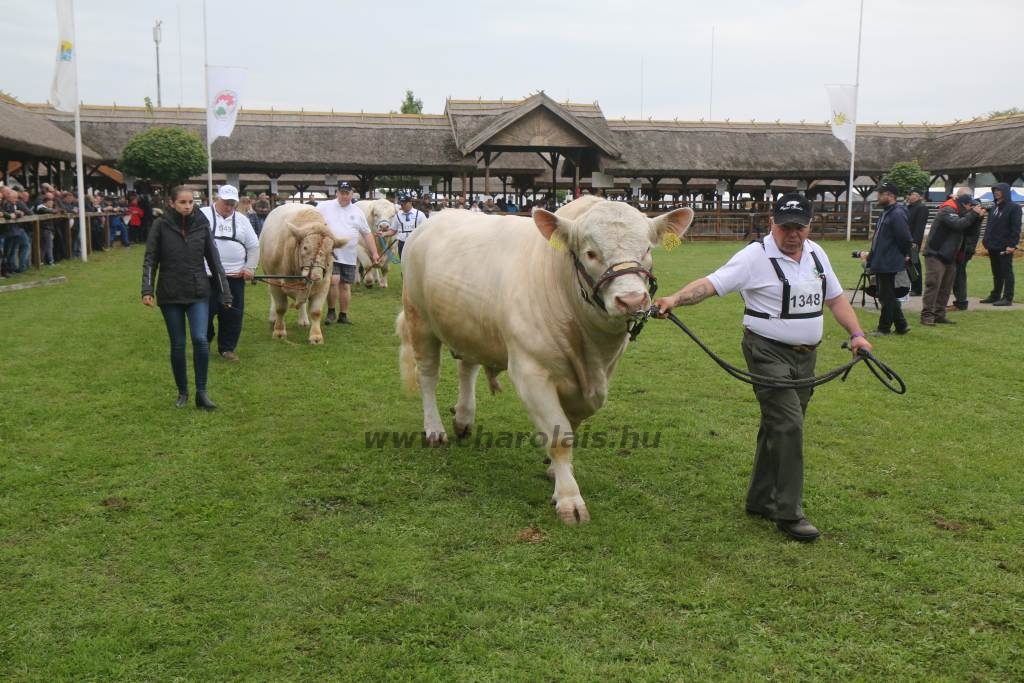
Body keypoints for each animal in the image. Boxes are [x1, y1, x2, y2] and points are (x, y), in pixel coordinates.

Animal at [258, 201, 346, 342]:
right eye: (305, 247)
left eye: (330, 251)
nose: (315, 276)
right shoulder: (275, 280)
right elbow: (280, 307)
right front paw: (279, 331)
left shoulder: (324, 283)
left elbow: (316, 311)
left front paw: (316, 336)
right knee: (273, 299)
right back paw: (272, 319)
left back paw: (303, 320)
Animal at [395, 196, 692, 524]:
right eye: (591, 253)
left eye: (648, 249)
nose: (631, 301)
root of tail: (436, 217)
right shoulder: (530, 372)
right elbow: (558, 435)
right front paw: (569, 499)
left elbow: (571, 425)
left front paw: (556, 472)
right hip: (419, 319)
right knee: (427, 376)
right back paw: (435, 429)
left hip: (468, 326)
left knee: (466, 368)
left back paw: (463, 418)